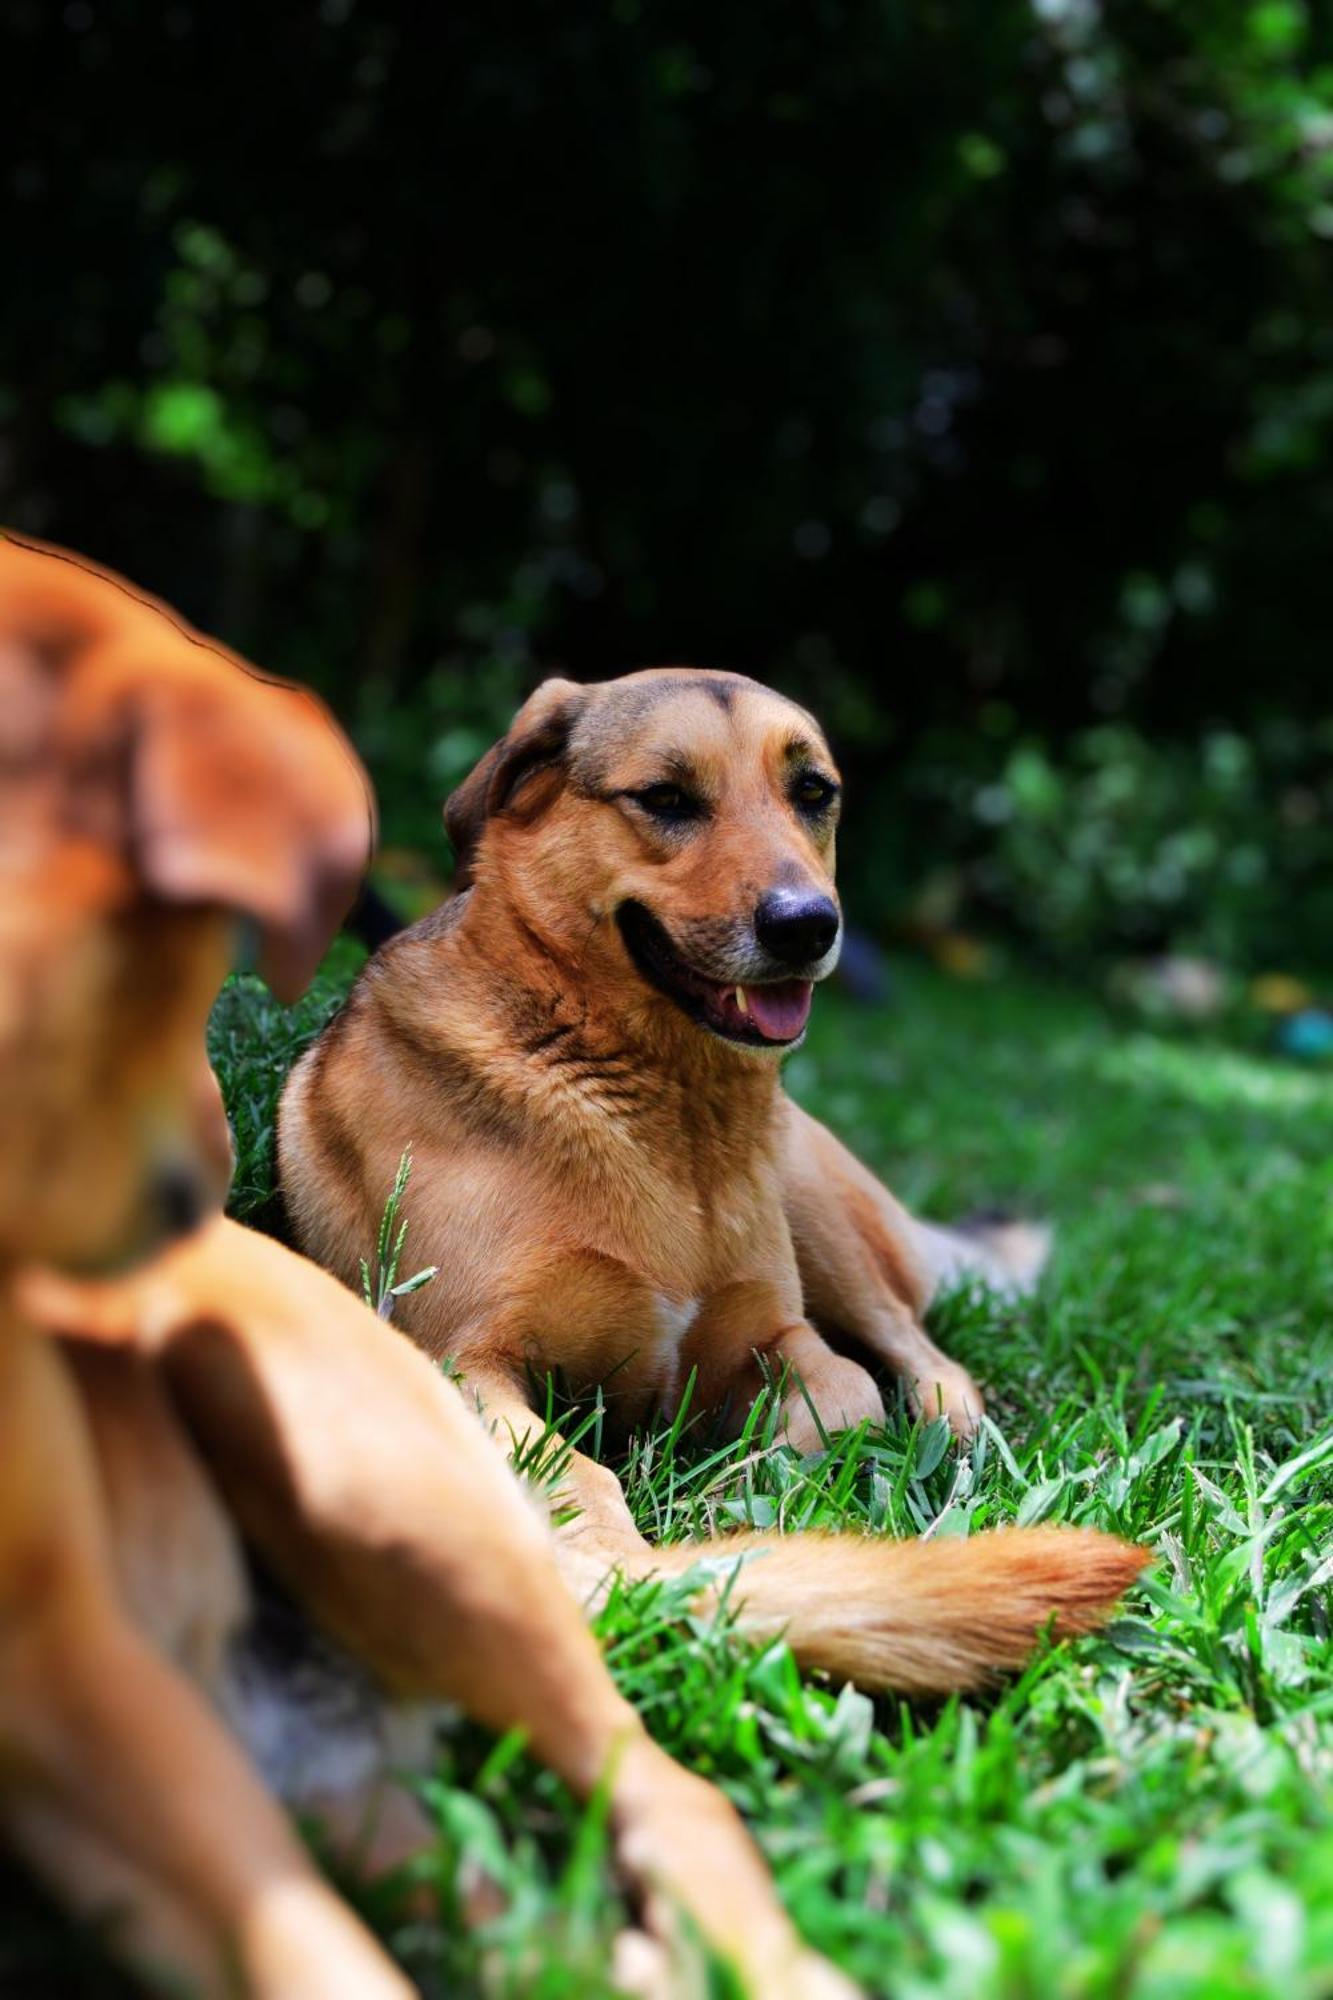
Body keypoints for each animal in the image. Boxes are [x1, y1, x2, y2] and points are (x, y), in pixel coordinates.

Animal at [280, 676, 1144, 1704]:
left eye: (812, 792)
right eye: (664, 798)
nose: (809, 925)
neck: (665, 1108)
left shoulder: (781, 1334)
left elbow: (850, 1392)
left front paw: (742, 1504)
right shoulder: (462, 1359)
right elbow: (577, 1473)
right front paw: (633, 1570)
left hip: (818, 1208)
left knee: (924, 1353)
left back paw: (955, 1437)